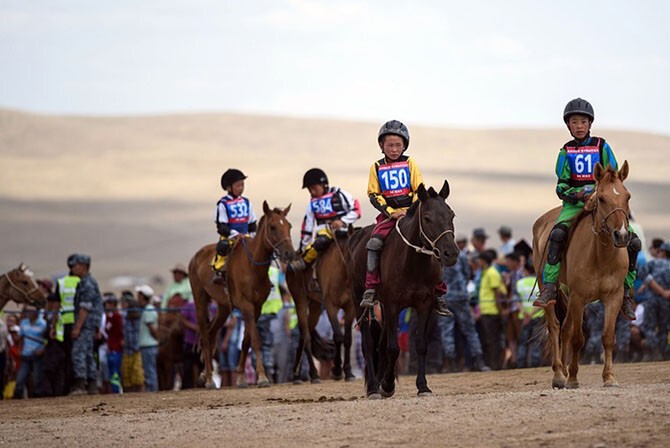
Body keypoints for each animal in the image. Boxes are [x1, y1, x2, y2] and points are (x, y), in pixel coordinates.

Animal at [188, 202, 296, 388]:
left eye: (288, 226)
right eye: (273, 227)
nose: (289, 253)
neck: (253, 267)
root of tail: (196, 257)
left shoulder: (257, 307)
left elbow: (246, 341)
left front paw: (240, 378)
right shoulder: (246, 306)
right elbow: (256, 340)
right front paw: (262, 377)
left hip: (223, 308)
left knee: (211, 333)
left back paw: (205, 375)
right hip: (200, 300)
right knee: (204, 336)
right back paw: (209, 379)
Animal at [288, 226, 360, 384]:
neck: (342, 273)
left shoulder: (350, 307)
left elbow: (347, 338)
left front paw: (348, 372)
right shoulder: (330, 305)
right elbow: (338, 336)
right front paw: (337, 370)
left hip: (315, 307)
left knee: (303, 336)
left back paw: (296, 375)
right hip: (300, 301)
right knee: (307, 337)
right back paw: (313, 375)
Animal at [350, 182, 460, 400]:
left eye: (451, 215)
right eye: (427, 218)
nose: (451, 253)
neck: (412, 263)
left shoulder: (423, 305)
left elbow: (421, 345)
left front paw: (423, 386)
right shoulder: (393, 305)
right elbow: (393, 348)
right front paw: (387, 385)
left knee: (381, 343)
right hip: (359, 300)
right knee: (368, 344)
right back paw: (374, 387)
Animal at [532, 161, 632, 388]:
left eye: (627, 196)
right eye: (601, 198)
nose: (621, 235)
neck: (600, 256)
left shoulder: (613, 296)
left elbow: (608, 337)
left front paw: (609, 377)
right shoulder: (579, 296)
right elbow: (578, 338)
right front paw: (573, 378)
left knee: (566, 328)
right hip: (550, 289)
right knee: (556, 327)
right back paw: (560, 375)